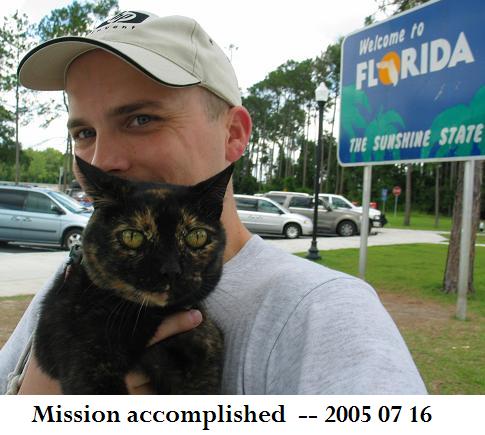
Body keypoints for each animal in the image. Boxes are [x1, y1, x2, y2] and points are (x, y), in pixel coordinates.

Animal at [33, 158, 231, 396]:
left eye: (197, 236)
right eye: (132, 237)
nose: (171, 270)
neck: (149, 317)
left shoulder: (204, 348)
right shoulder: (85, 361)